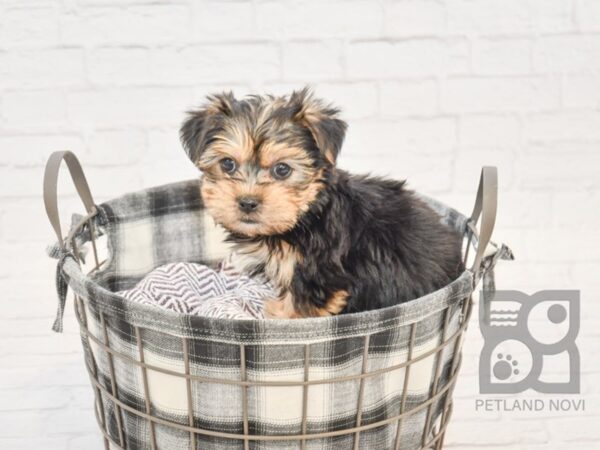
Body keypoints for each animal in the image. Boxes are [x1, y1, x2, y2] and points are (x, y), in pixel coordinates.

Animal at [180, 88, 466, 318]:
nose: (248, 202)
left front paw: (277, 314)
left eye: (282, 169)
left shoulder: (320, 277)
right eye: (227, 164)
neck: (308, 213)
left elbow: (297, 309)